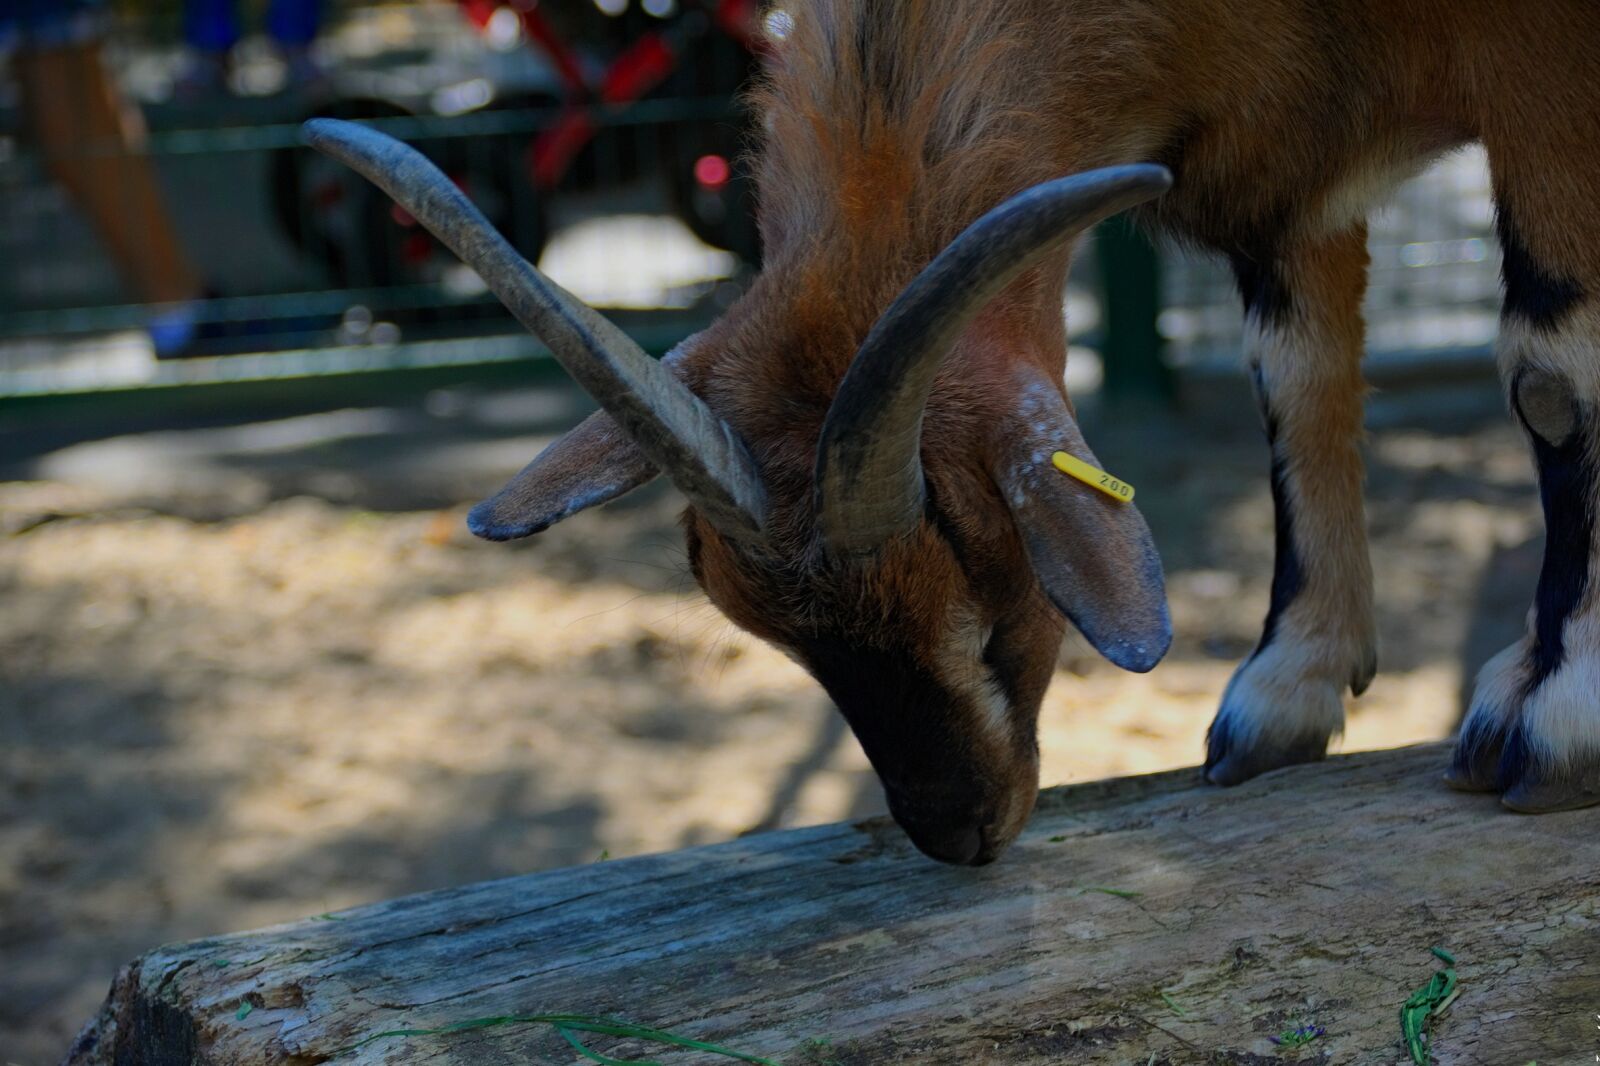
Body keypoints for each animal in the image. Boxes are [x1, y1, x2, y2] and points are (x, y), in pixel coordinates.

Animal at [307, 0, 1600, 865]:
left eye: (987, 577)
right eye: (753, 619)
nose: (956, 828)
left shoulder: (1544, 65)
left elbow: (1554, 368)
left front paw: (1562, 715)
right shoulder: (1291, 160)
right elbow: (1295, 375)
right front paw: (1288, 686)